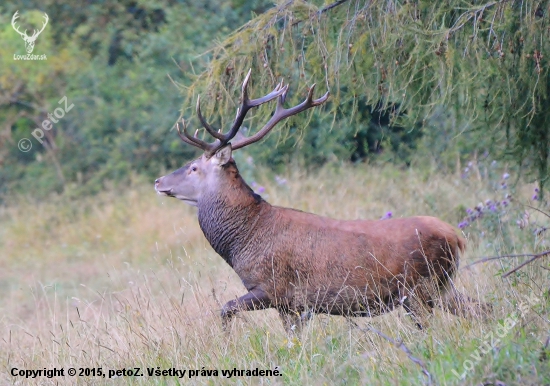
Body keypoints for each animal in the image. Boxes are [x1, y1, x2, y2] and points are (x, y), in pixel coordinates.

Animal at [155, 71, 488, 334]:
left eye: (193, 167)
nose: (159, 181)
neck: (242, 240)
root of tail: (457, 237)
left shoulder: (272, 288)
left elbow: (225, 308)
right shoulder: (292, 305)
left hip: (419, 288)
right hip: (442, 286)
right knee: (481, 308)